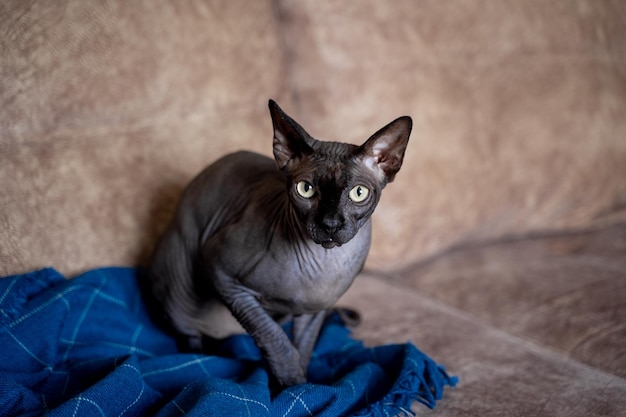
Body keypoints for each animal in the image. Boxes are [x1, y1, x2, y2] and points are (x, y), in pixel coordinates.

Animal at [146, 99, 410, 386]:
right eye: (305, 189)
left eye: (358, 193)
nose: (330, 224)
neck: (325, 265)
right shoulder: (222, 273)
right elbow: (273, 336)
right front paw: (290, 381)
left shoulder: (315, 310)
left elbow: (304, 348)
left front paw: (301, 386)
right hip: (178, 281)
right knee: (188, 331)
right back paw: (203, 353)